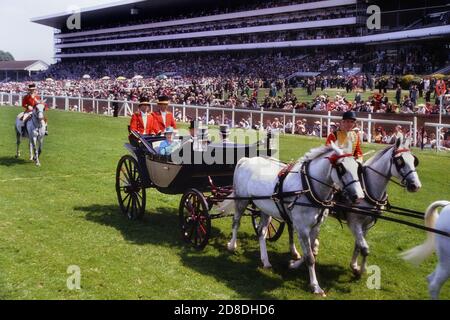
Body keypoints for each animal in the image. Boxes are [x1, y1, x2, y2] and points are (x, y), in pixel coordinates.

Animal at [221, 142, 366, 296]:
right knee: (236, 222)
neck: (308, 187)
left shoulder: (316, 226)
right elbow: (310, 257)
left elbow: (311, 251)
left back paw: (265, 260)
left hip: (265, 209)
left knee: (261, 231)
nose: (359, 197)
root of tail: (246, 160)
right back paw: (232, 245)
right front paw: (315, 286)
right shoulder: (302, 228)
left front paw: (295, 264)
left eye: (358, 167)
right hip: (241, 201)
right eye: (341, 168)